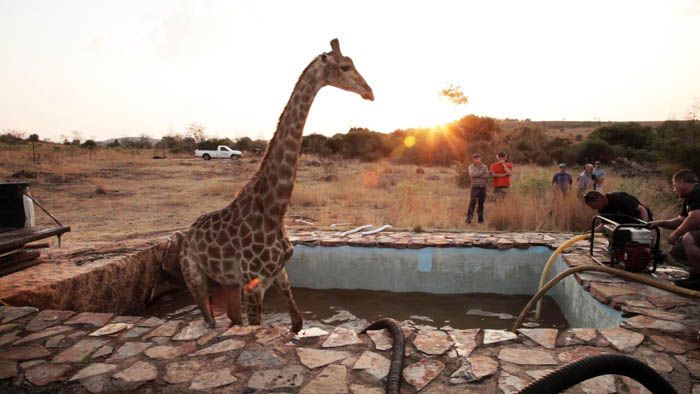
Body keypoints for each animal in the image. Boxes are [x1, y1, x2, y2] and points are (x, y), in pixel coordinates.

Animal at [178, 38, 374, 330]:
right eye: (345, 67)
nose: (369, 92)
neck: (274, 209)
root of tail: (185, 234)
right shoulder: (254, 284)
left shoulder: (279, 273)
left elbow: (298, 321)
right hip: (193, 276)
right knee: (210, 319)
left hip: (228, 282)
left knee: (233, 317)